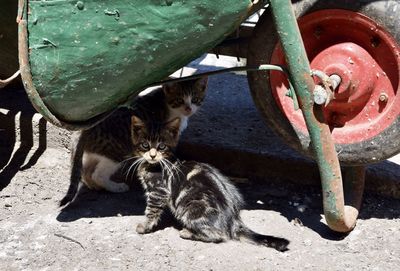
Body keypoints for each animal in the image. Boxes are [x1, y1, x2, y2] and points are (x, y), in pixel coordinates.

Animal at [61, 77, 209, 207]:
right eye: (179, 100)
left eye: (195, 99)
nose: (188, 109)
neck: (166, 104)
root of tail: (84, 131)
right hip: (116, 151)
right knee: (98, 174)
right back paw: (115, 187)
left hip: (97, 151)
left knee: (85, 170)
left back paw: (93, 185)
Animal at [133, 116, 290, 252]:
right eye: (145, 145)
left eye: (161, 146)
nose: (152, 155)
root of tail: (233, 218)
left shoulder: (158, 191)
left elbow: (151, 211)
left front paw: (144, 227)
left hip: (192, 208)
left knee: (218, 235)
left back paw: (188, 233)